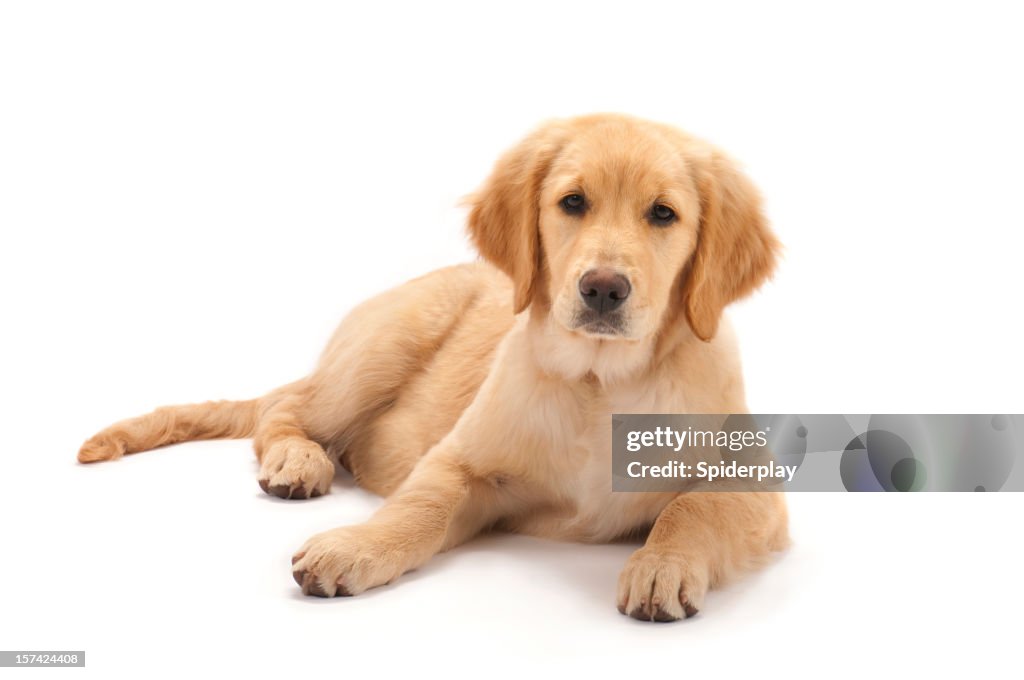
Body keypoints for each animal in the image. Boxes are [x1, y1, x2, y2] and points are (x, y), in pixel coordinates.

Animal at [79, 115, 786, 622]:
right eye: (572, 203)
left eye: (663, 214)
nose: (603, 289)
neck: (598, 381)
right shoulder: (462, 461)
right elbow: (419, 507)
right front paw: (355, 547)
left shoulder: (754, 485)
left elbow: (690, 510)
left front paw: (660, 564)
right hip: (382, 346)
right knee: (283, 411)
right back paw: (298, 462)